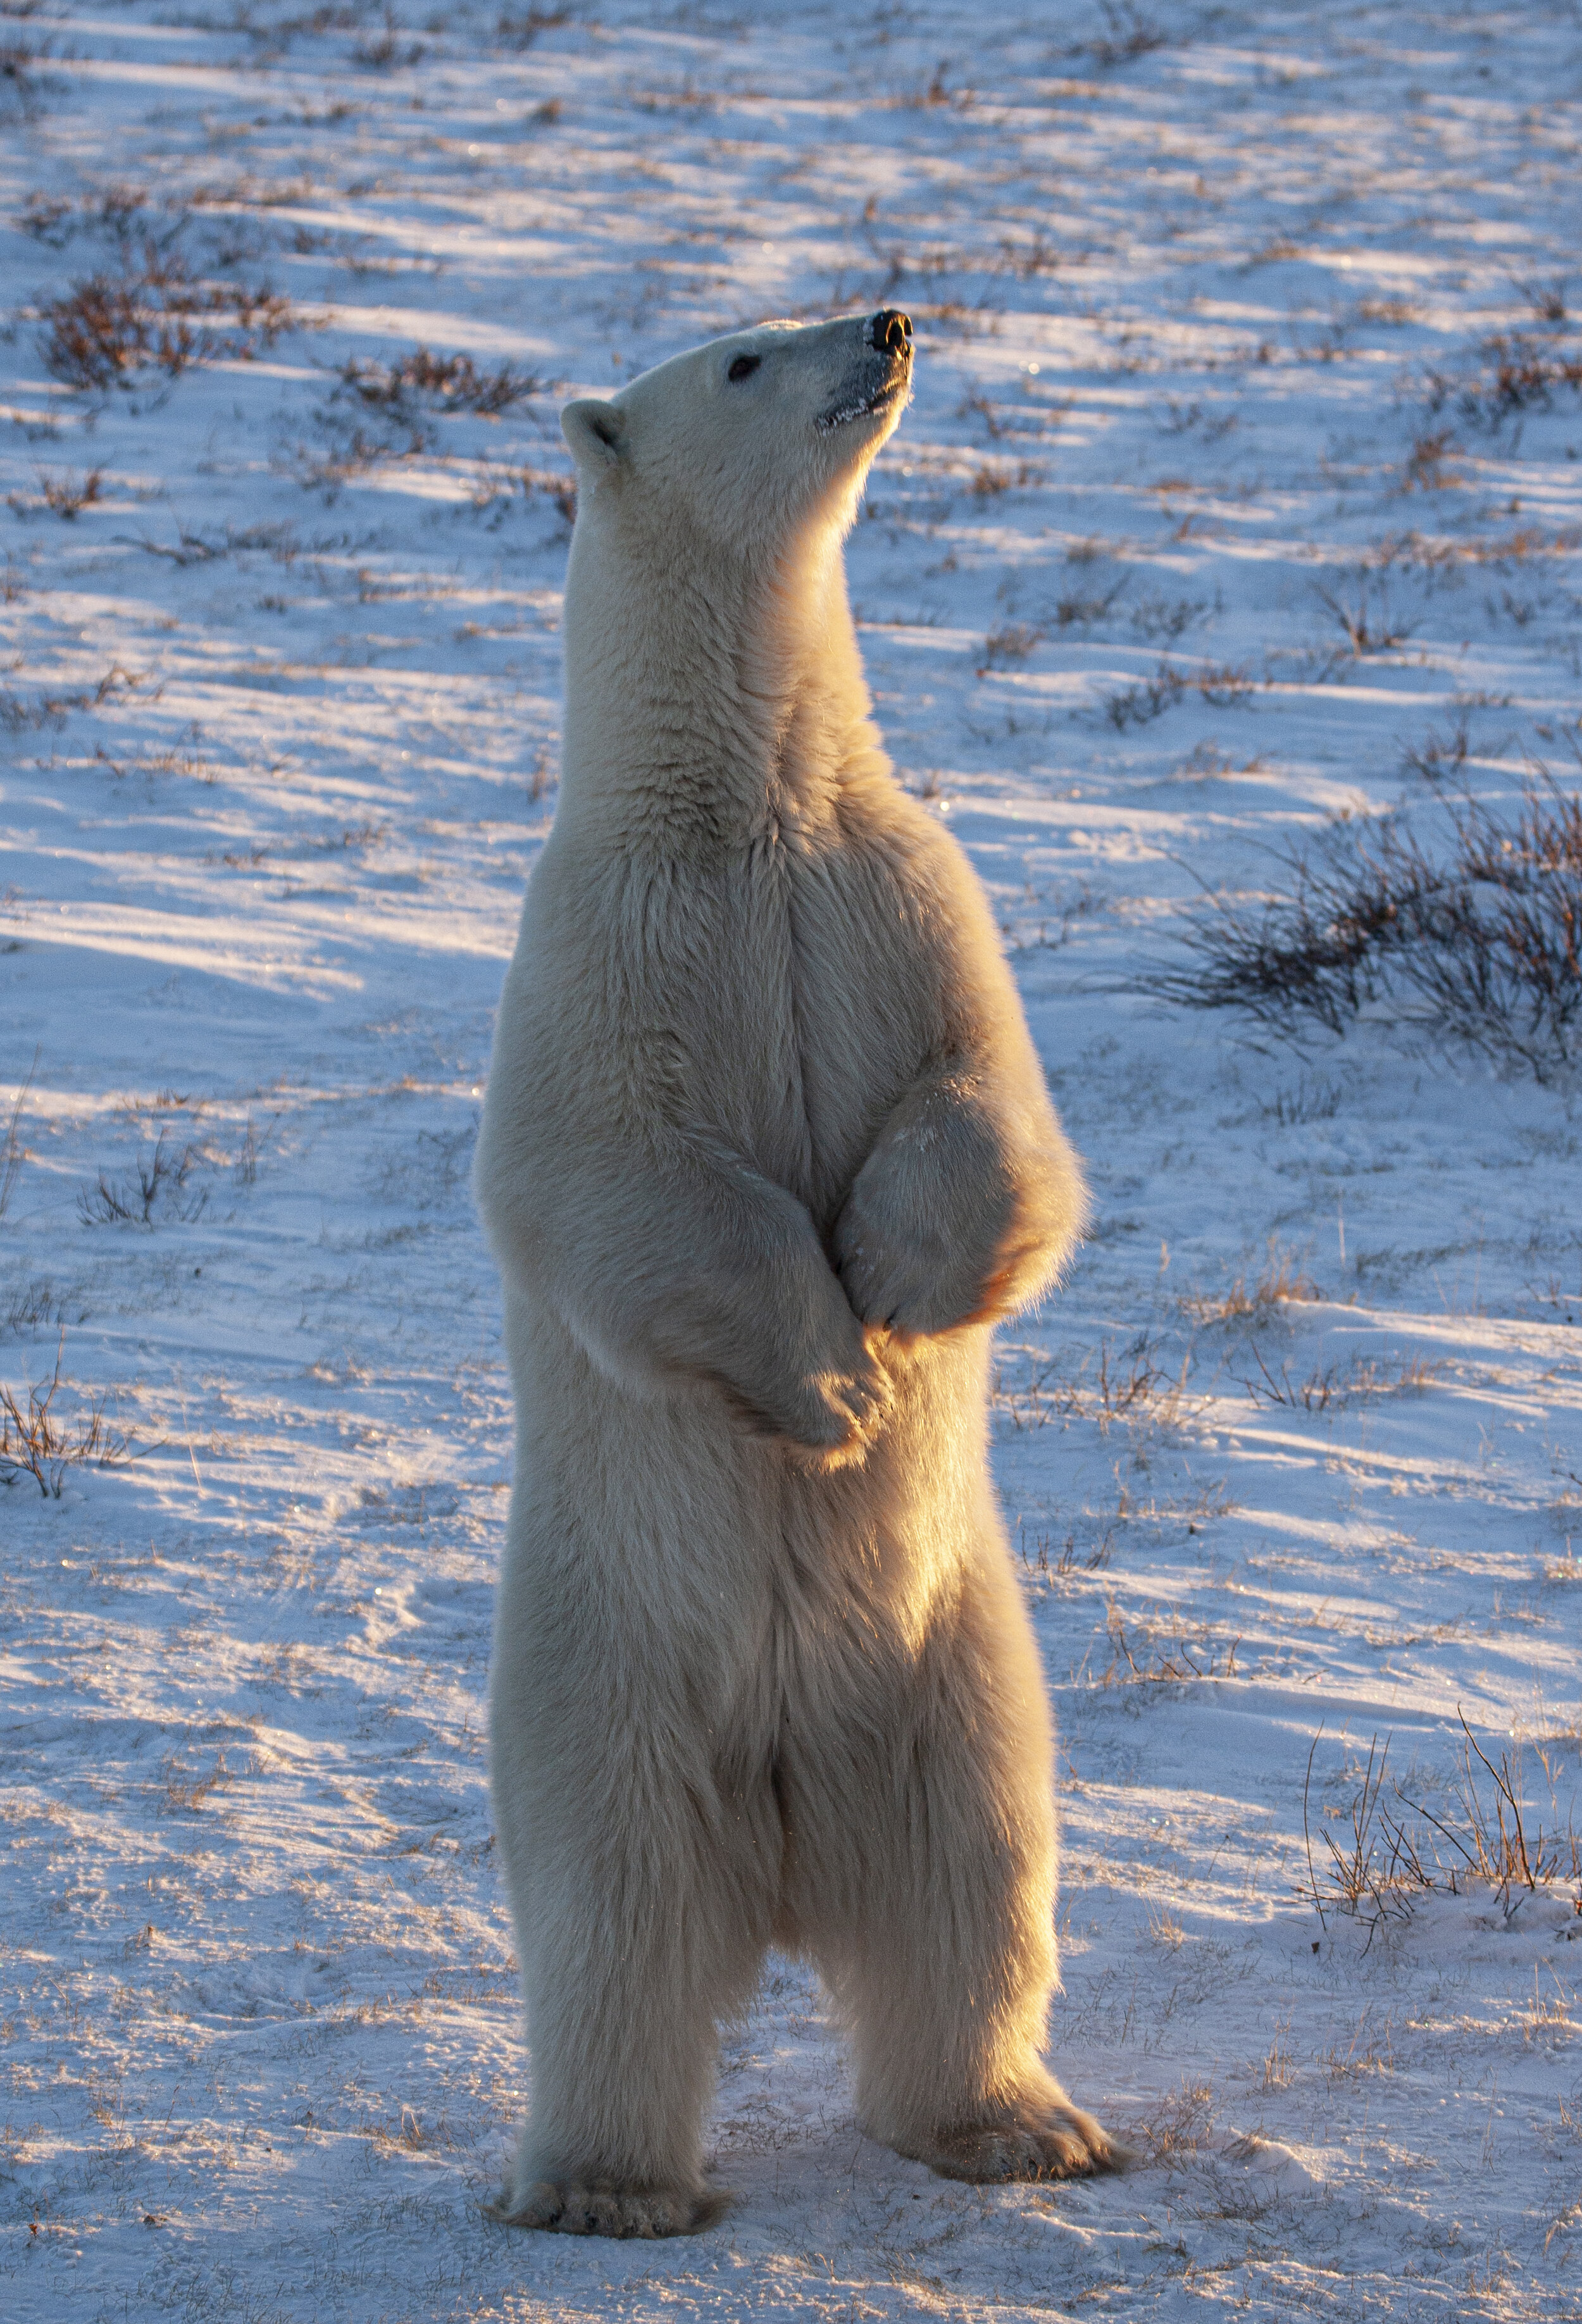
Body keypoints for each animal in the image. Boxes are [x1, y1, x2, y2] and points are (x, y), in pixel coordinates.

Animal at [476, 304, 1106, 2231]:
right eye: (745, 358)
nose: (889, 319)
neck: (746, 814)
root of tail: (782, 1841)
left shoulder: (899, 894)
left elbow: (987, 1099)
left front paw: (897, 1293)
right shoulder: (600, 952)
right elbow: (623, 1179)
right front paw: (834, 1376)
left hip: (956, 1671)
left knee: (974, 1881)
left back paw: (1018, 2123)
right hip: (598, 1674)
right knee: (612, 1926)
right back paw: (604, 2183)